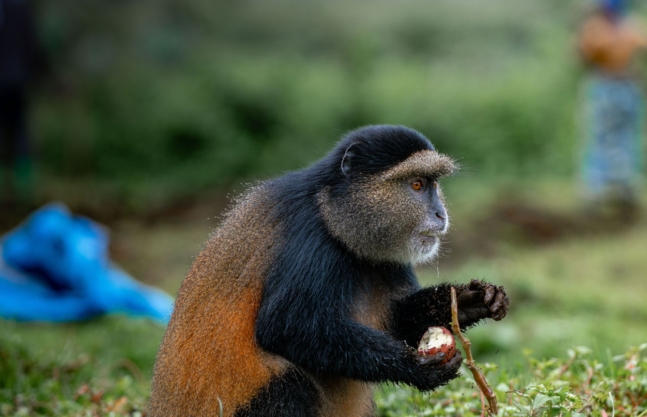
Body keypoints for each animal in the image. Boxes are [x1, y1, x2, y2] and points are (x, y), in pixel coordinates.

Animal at [148, 125, 509, 417]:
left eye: (433, 184)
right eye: (417, 185)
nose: (440, 214)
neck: (332, 209)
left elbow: (397, 319)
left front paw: (472, 299)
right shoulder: (310, 238)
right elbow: (285, 326)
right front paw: (417, 368)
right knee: (288, 383)